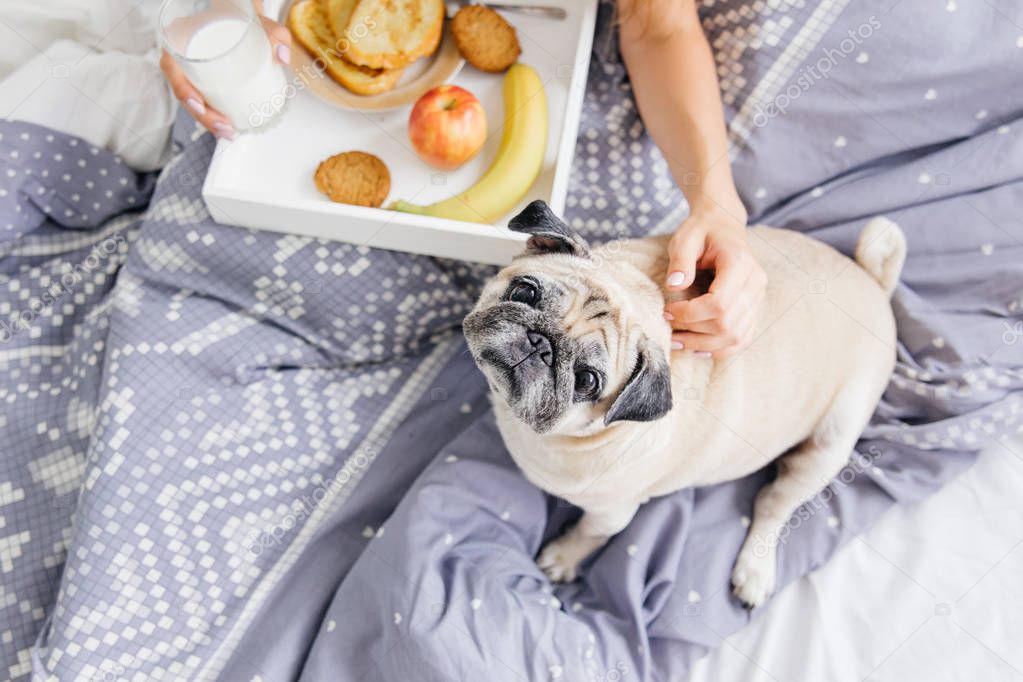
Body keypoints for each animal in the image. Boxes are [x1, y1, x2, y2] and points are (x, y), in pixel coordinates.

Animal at [464, 200, 904, 605]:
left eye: (587, 381)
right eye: (525, 290)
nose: (540, 343)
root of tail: (873, 282)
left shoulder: (613, 511)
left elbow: (591, 532)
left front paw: (564, 557)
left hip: (829, 447)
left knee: (773, 505)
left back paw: (755, 570)